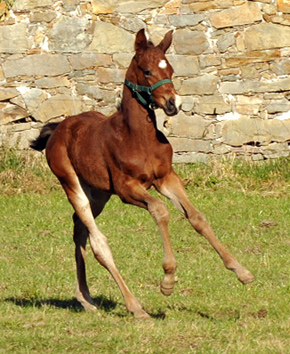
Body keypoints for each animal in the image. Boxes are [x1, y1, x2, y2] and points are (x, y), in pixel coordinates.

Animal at [30, 29, 254, 320]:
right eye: (147, 71)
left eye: (170, 69)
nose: (173, 103)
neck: (137, 137)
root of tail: (58, 129)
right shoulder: (127, 189)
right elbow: (160, 211)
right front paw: (168, 281)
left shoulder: (167, 178)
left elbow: (197, 217)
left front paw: (241, 271)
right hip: (71, 183)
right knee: (98, 243)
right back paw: (134, 307)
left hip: (99, 193)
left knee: (79, 228)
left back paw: (86, 298)